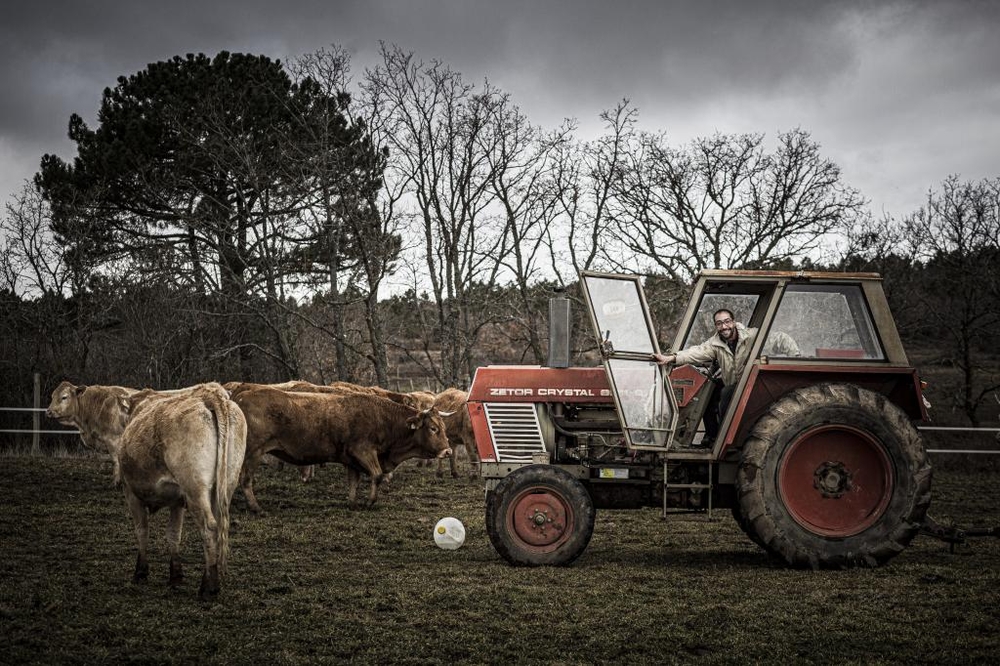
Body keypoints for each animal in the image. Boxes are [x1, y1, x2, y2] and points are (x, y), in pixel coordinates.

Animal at [117, 382, 248, 600]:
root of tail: (210, 395)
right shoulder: (177, 501)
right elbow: (173, 533)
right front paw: (175, 576)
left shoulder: (131, 493)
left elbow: (142, 530)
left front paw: (141, 572)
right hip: (225, 485)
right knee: (218, 525)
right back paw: (209, 583)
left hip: (195, 488)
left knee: (209, 527)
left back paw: (209, 588)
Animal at [232, 384, 452, 508]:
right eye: (433, 428)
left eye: (443, 427)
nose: (448, 451)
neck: (383, 419)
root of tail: (241, 396)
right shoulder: (363, 451)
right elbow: (377, 475)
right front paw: (369, 502)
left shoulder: (351, 459)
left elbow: (353, 481)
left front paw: (352, 503)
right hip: (253, 453)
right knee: (245, 480)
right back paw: (256, 508)